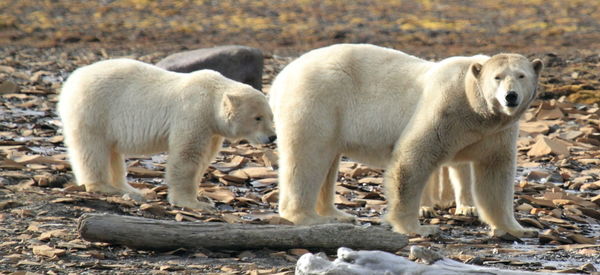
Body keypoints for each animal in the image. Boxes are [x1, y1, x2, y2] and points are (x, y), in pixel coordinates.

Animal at [59, 59, 276, 211]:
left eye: (271, 116)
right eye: (257, 117)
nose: (272, 137)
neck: (211, 97)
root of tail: (71, 82)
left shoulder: (211, 129)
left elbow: (204, 159)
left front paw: (202, 197)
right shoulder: (193, 114)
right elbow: (187, 157)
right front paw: (193, 203)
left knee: (111, 151)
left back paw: (130, 189)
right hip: (94, 110)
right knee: (92, 149)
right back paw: (106, 187)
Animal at [270, 43, 540, 237]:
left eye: (521, 75)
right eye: (497, 77)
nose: (510, 96)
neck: (476, 109)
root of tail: (280, 78)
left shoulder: (496, 132)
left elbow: (495, 174)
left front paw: (519, 228)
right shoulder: (444, 108)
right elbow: (413, 158)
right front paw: (419, 228)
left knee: (328, 161)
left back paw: (336, 214)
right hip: (317, 99)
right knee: (308, 157)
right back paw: (308, 216)